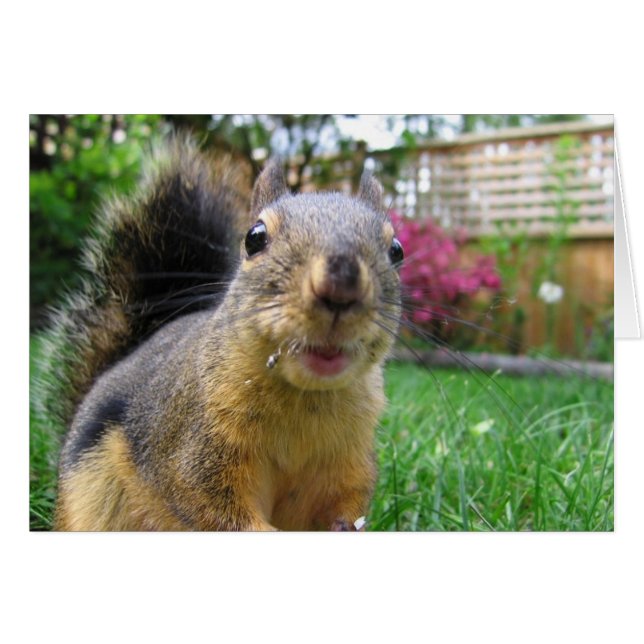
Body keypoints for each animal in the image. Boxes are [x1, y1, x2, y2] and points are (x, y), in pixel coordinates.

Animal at [44, 136, 403, 531]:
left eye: (396, 250)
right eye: (254, 237)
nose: (341, 284)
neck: (306, 397)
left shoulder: (349, 459)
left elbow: (347, 499)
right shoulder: (191, 446)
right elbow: (209, 503)